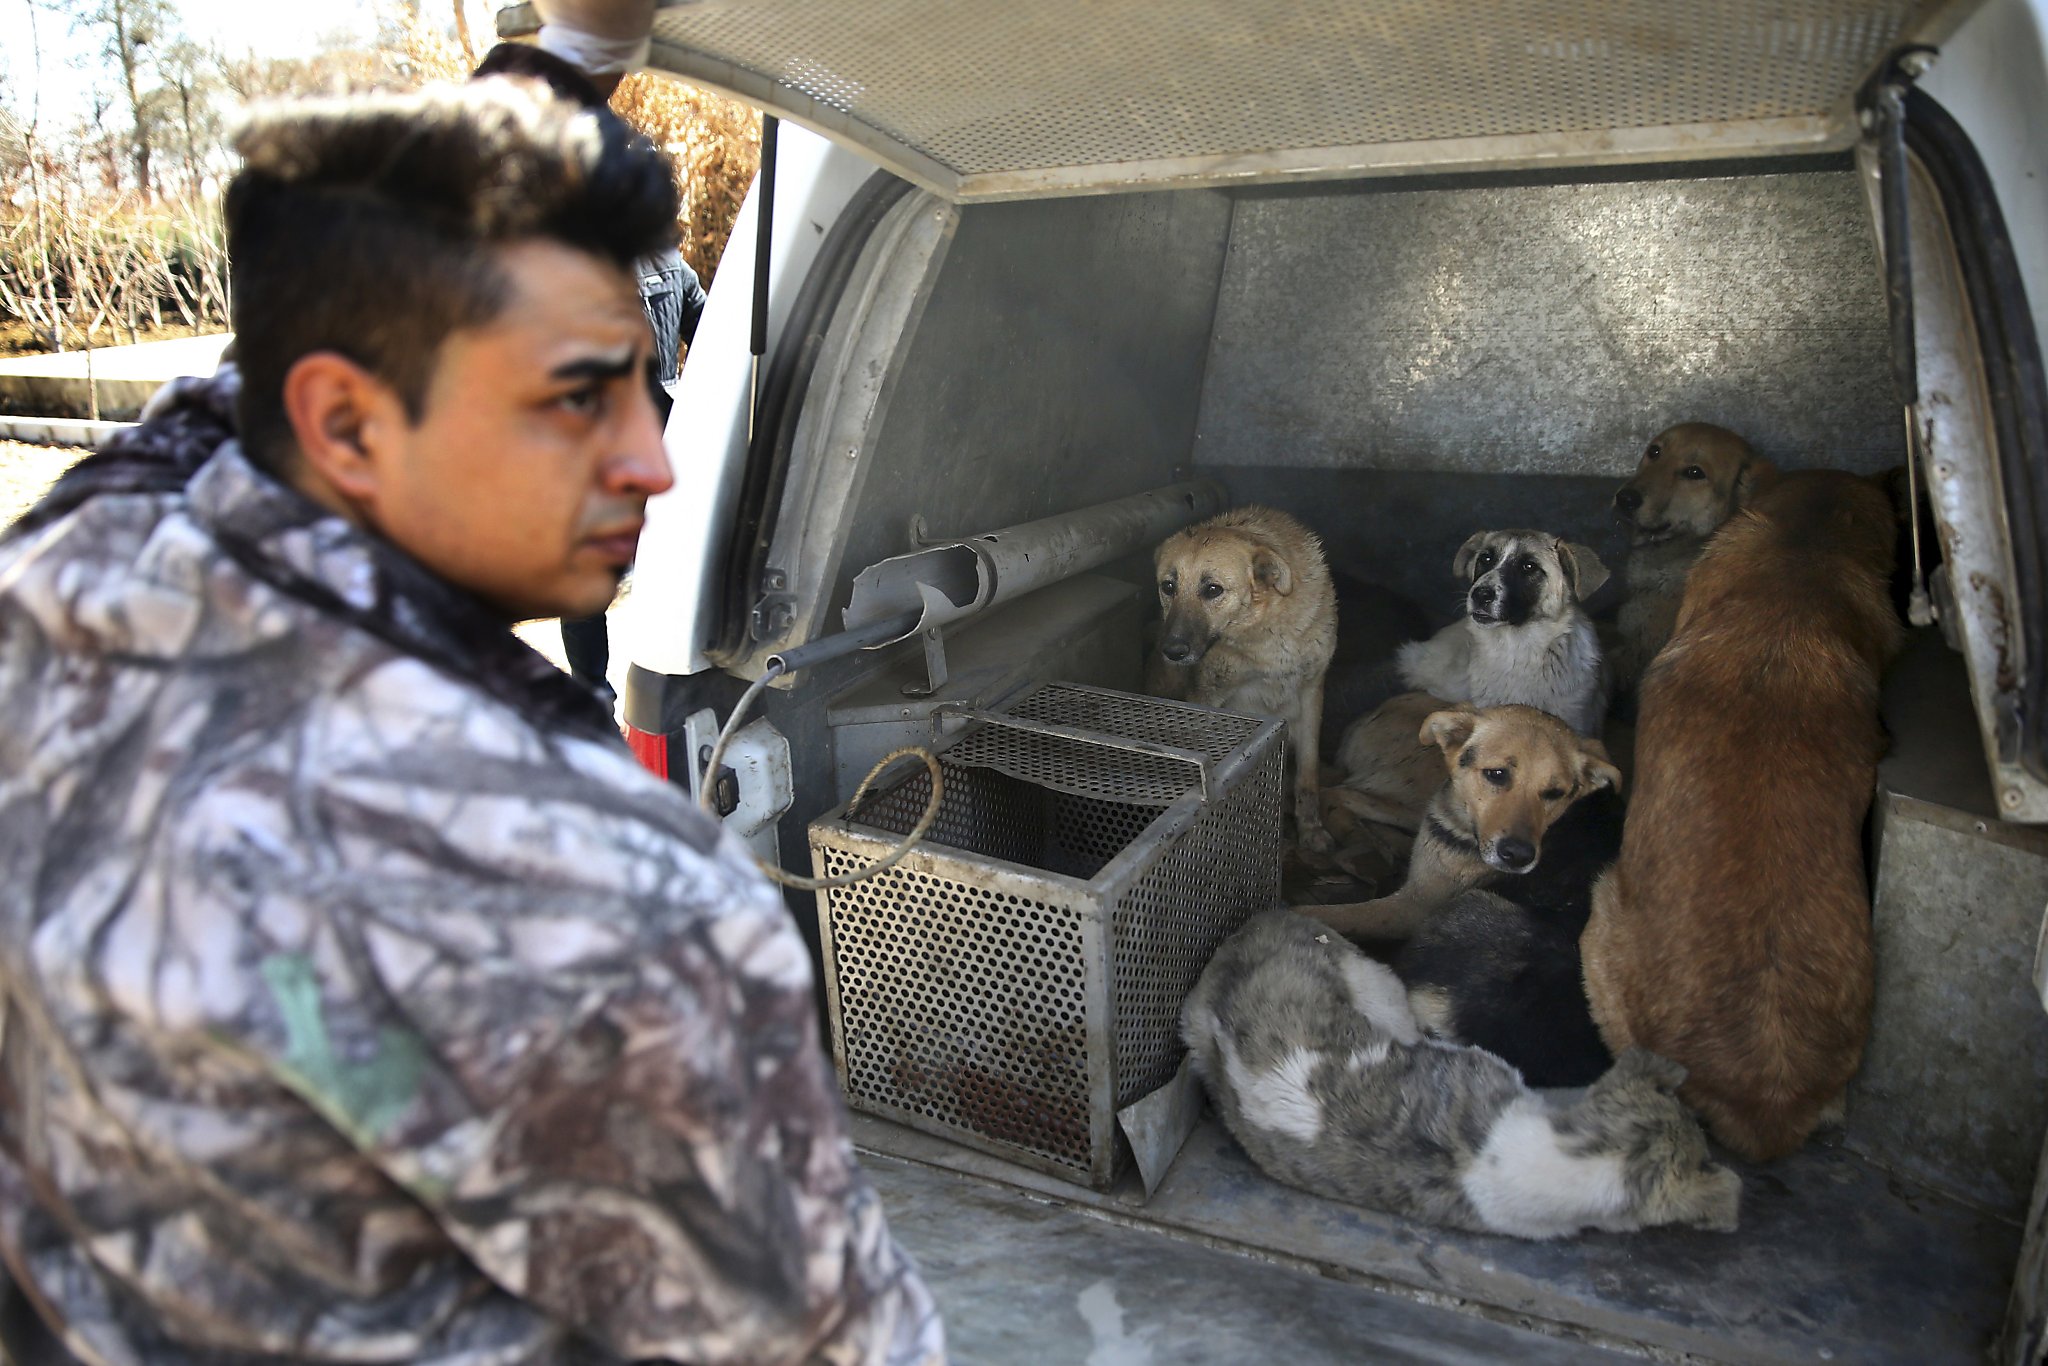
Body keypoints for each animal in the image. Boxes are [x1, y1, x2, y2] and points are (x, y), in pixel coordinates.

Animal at [1155, 507, 1343, 860]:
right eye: (1168, 586)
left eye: (1213, 590)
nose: (1172, 652)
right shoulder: (1206, 696)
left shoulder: (1312, 693)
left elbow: (1308, 775)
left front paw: (1311, 830)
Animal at [1302, 700, 1622, 946]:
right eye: (1496, 774)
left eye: (1555, 793)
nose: (1518, 856)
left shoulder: (1410, 908)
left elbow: (1327, 914)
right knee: (1339, 794)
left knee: (1339, 795)